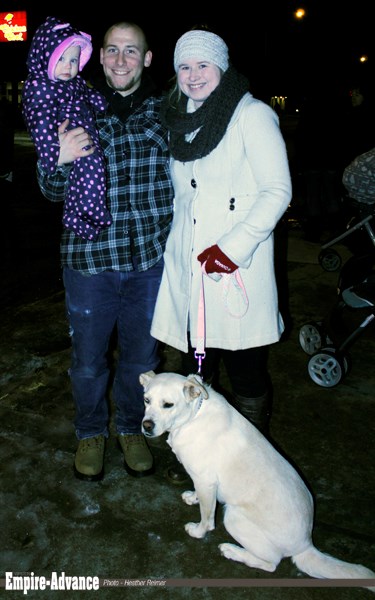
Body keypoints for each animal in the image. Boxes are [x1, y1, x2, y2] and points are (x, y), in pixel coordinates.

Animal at [140, 368, 375, 584]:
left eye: (168, 404)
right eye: (146, 400)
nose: (146, 427)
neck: (194, 415)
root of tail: (306, 544)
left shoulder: (205, 481)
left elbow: (206, 518)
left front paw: (198, 532)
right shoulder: (204, 482)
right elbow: (203, 498)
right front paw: (192, 497)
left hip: (232, 516)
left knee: (271, 564)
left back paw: (233, 551)